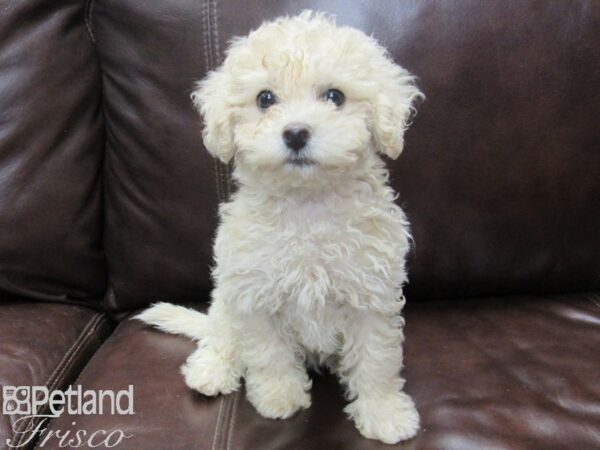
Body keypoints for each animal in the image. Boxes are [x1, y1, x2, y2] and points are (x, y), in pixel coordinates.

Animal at [138, 12, 424, 444]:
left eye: (335, 96)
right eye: (265, 99)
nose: (295, 133)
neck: (306, 206)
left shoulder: (370, 297)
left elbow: (376, 360)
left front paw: (384, 413)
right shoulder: (254, 294)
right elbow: (268, 353)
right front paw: (279, 398)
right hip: (225, 300)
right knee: (220, 337)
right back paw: (211, 371)